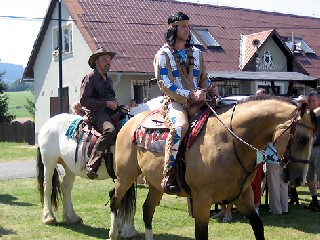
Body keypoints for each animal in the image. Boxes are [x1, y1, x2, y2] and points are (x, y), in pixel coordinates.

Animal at [108, 96, 318, 240]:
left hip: (156, 184)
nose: (299, 179)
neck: (229, 140)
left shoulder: (243, 196)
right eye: (303, 139)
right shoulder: (202, 201)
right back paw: (113, 233)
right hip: (125, 176)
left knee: (147, 210)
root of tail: (130, 121)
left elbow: (258, 226)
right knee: (114, 200)